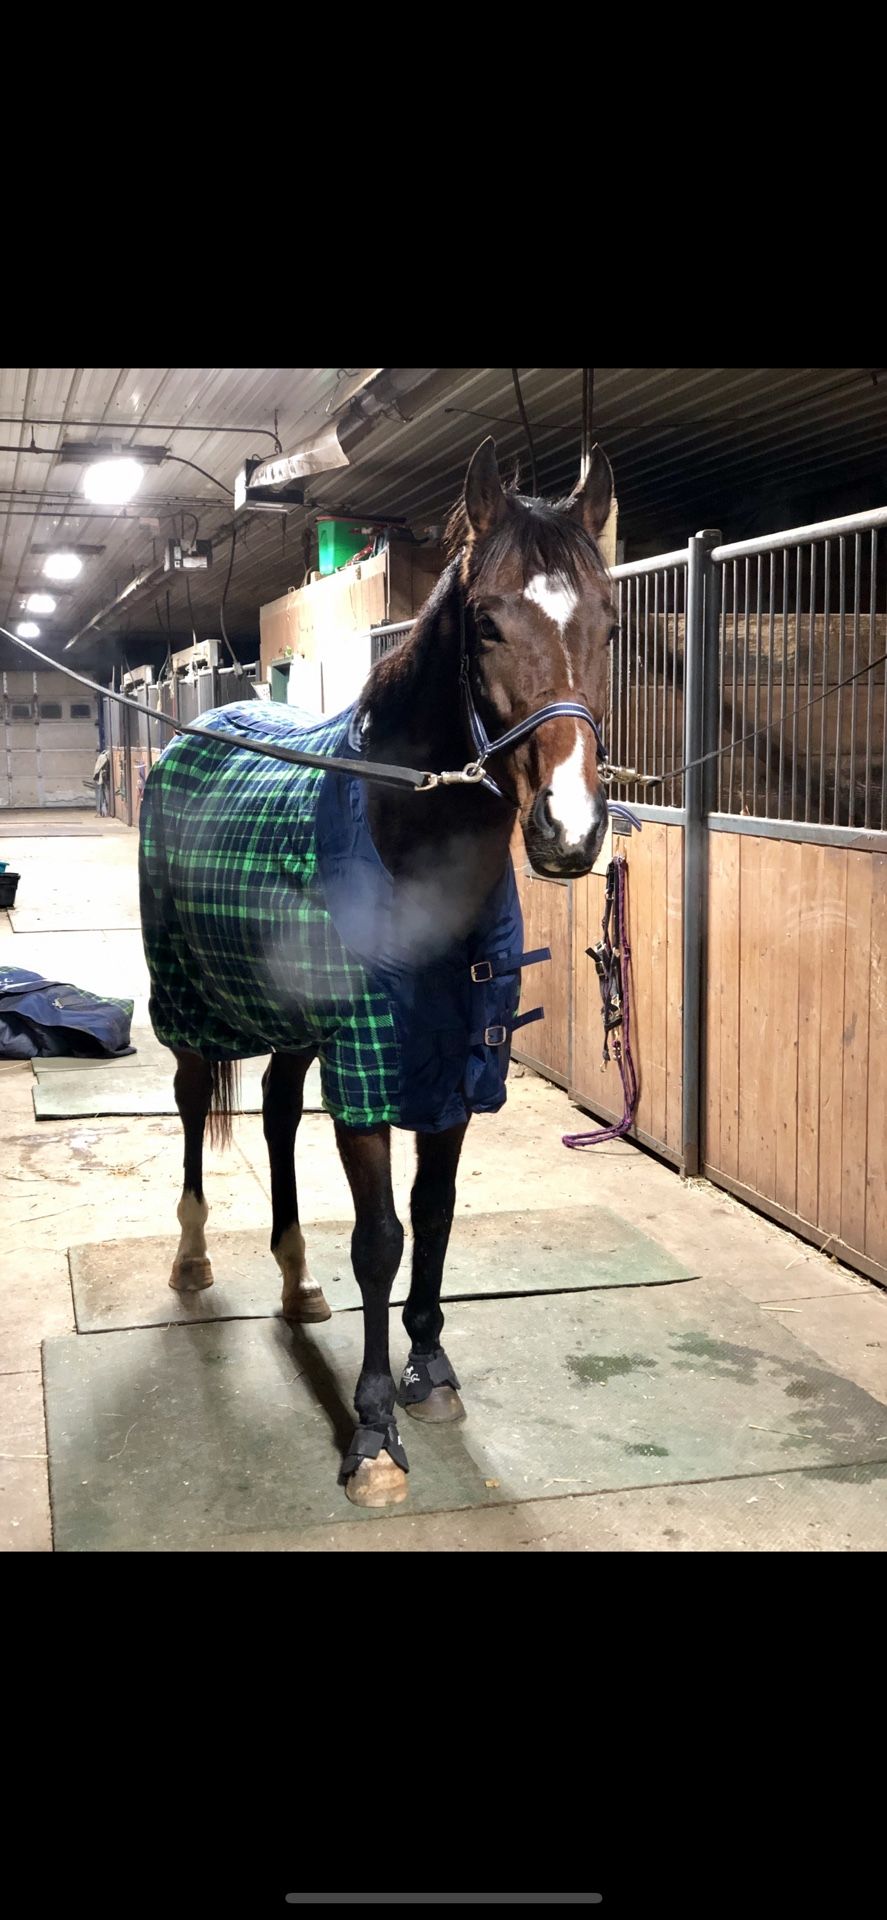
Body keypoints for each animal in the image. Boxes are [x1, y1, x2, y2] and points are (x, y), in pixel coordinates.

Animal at [138, 436, 618, 1509]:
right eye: (486, 623)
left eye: (608, 623)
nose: (570, 833)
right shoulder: (367, 1065)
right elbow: (381, 1238)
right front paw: (372, 1437)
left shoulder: (456, 1068)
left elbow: (434, 1219)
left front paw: (429, 1373)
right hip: (192, 1004)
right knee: (192, 1105)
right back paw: (191, 1259)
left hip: (289, 1021)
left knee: (276, 1113)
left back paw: (294, 1280)